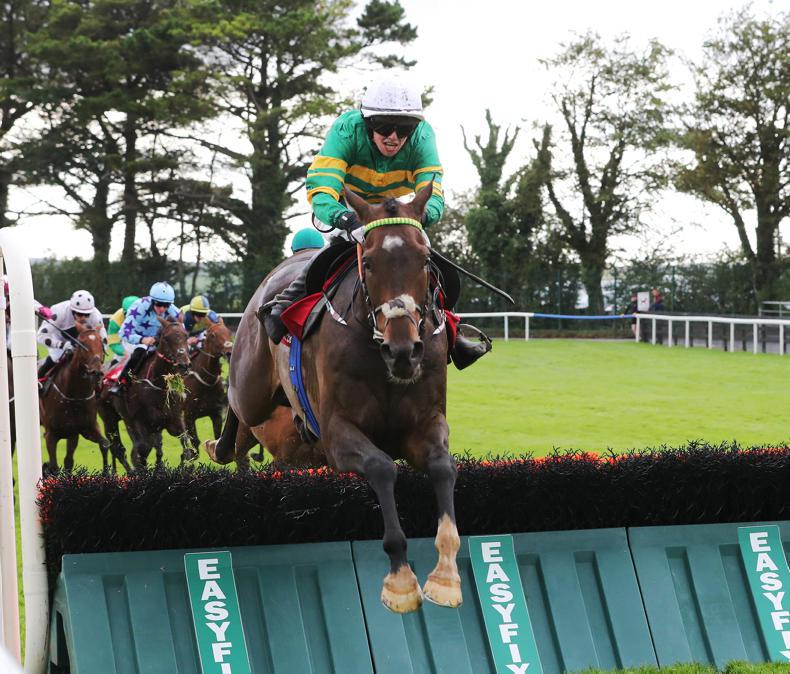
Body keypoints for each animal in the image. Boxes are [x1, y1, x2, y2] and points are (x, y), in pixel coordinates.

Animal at [38, 323, 113, 473]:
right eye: (82, 344)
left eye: (101, 343)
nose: (96, 372)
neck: (74, 395)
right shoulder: (50, 435)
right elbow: (54, 467)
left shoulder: (82, 430)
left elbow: (105, 444)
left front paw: (106, 473)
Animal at [98, 317, 192, 471]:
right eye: (166, 338)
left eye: (186, 335)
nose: (184, 365)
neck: (158, 387)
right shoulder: (139, 422)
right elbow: (142, 450)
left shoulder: (174, 420)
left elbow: (186, 449)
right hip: (110, 418)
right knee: (118, 449)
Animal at [183, 321, 233, 457]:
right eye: (213, 335)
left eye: (228, 332)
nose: (229, 352)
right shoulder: (188, 416)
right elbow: (195, 443)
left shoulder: (216, 414)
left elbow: (217, 438)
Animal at [206, 183, 462, 613]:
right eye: (369, 263)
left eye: (425, 260)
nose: (404, 350)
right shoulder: (338, 432)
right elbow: (381, 468)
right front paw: (400, 580)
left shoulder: (425, 423)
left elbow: (443, 468)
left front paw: (445, 576)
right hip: (251, 383)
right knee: (237, 405)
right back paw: (220, 445)